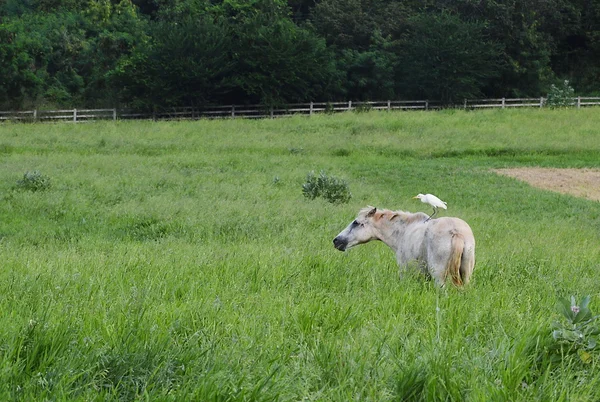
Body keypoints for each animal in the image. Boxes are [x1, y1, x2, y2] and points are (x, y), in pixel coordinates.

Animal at [330, 206, 476, 288]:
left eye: (356, 223)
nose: (336, 241)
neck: (404, 231)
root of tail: (456, 232)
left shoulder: (404, 271)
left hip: (439, 278)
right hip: (466, 276)